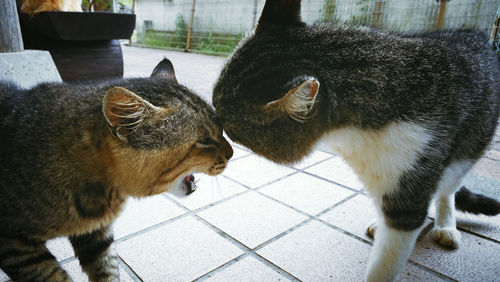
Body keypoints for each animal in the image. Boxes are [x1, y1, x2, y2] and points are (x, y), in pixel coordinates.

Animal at [0, 58, 234, 280]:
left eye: (221, 128)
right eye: (205, 141)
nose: (232, 153)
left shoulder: (96, 235)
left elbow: (107, 268)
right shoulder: (16, 246)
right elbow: (55, 277)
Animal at [212, 0, 500, 280]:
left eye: (232, 129)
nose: (215, 125)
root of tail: (474, 34)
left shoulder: (411, 185)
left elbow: (385, 261)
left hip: (466, 151)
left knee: (447, 189)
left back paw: (445, 225)